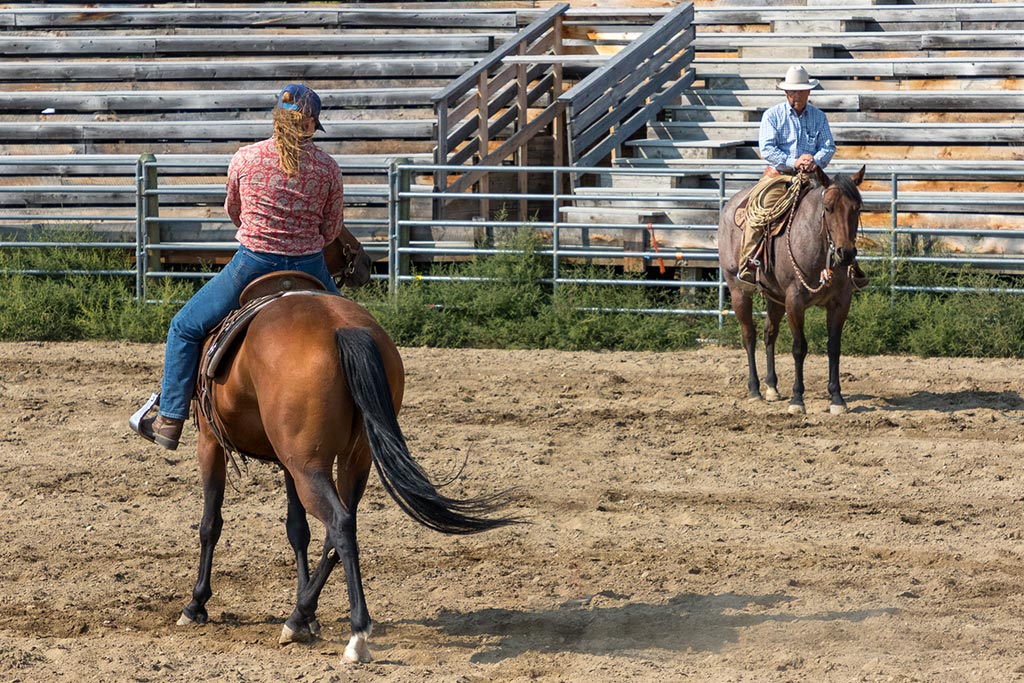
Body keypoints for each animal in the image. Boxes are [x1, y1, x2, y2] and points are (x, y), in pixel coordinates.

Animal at [175, 233, 520, 663]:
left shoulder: (210, 441)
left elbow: (211, 523)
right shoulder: (288, 462)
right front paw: (309, 615)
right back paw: (300, 617)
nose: (367, 263)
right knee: (341, 528)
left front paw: (196, 604)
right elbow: (297, 529)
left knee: (339, 523)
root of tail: (342, 329)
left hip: (309, 466)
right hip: (350, 460)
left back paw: (355, 635)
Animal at [716, 165, 868, 417]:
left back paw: (771, 388)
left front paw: (837, 398)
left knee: (769, 334)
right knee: (749, 336)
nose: (845, 253)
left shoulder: (840, 302)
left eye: (857, 208)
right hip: (738, 290)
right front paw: (797, 399)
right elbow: (799, 348)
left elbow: (834, 347)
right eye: (828, 207)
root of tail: (729, 206)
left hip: (775, 297)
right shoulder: (794, 301)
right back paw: (755, 390)